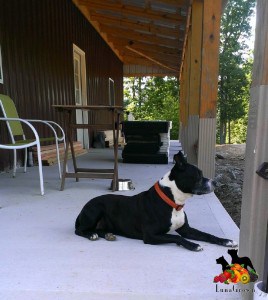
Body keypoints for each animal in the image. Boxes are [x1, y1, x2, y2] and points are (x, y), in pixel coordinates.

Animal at [75, 151, 237, 252]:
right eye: (198, 175)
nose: (215, 183)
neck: (173, 202)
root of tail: (82, 209)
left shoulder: (186, 229)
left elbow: (207, 235)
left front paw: (226, 241)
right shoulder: (151, 235)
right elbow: (176, 237)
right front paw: (193, 245)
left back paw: (107, 234)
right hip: (95, 209)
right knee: (79, 230)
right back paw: (91, 235)